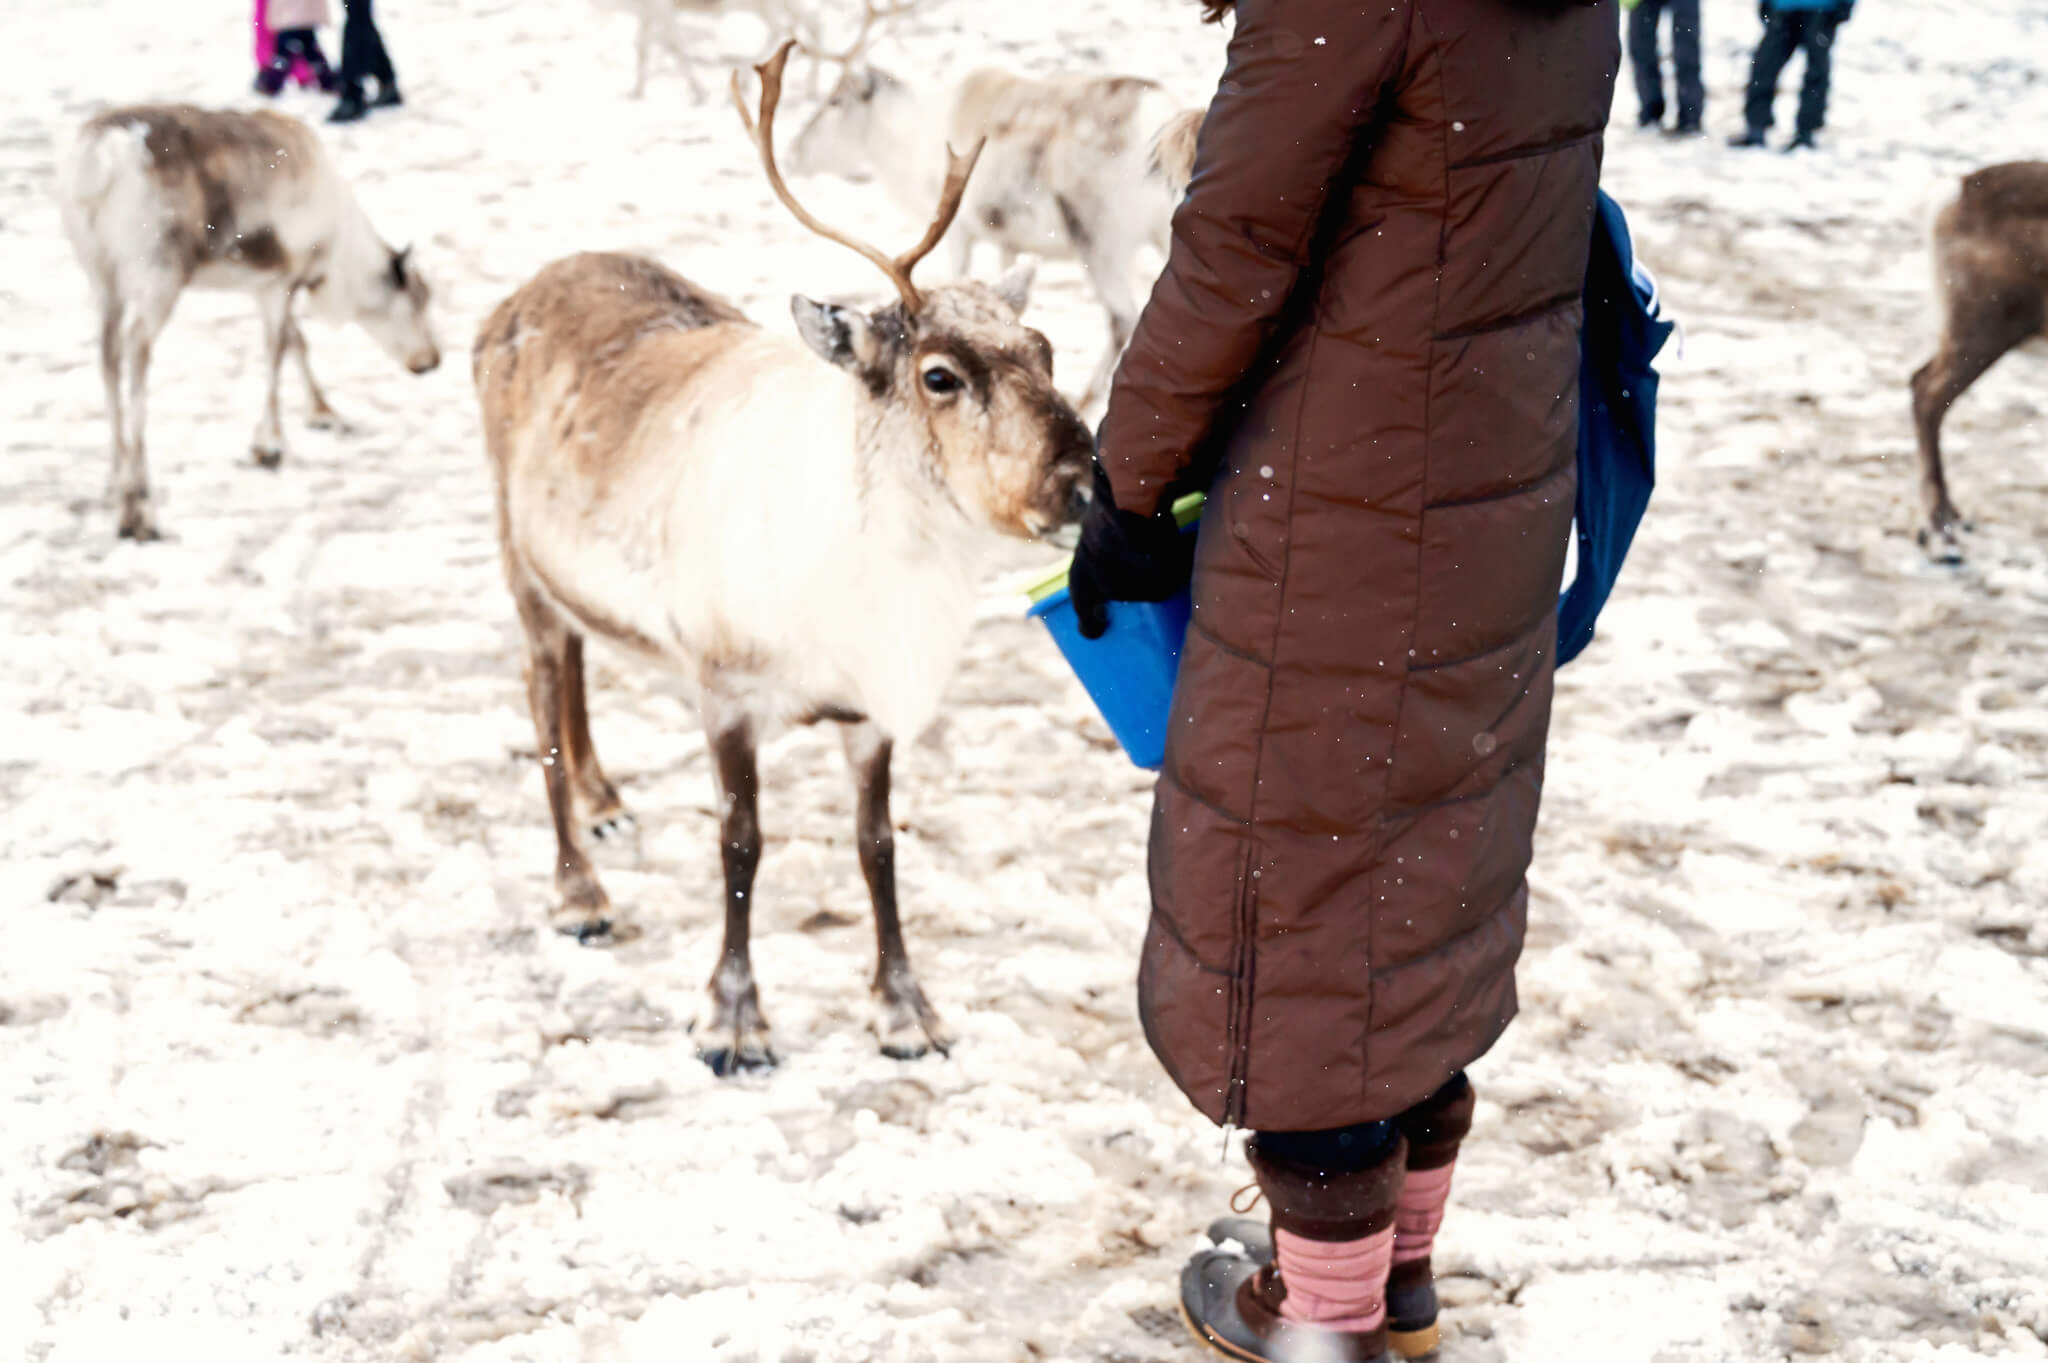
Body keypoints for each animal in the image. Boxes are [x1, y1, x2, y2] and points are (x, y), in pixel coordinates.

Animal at [53, 104, 439, 542]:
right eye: (419, 298)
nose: (432, 360)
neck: (337, 252)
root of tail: (97, 159)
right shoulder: (282, 280)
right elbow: (277, 350)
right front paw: (270, 446)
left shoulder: (264, 285)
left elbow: (295, 342)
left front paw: (323, 412)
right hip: (159, 273)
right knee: (137, 353)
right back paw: (139, 509)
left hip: (101, 277)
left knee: (108, 356)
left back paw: (114, 480)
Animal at [472, 42, 1092, 1076]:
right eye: (939, 374)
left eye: (1044, 349)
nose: (1082, 483)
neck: (867, 593)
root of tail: (511, 301)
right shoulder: (724, 689)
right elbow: (741, 843)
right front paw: (732, 1020)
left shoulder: (872, 710)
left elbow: (877, 844)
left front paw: (904, 1010)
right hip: (520, 567)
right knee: (541, 703)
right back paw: (579, 889)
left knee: (583, 669)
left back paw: (606, 798)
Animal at [786, 64, 1201, 411]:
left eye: (835, 101)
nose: (794, 153)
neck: (904, 141)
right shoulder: (1009, 241)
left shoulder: (957, 231)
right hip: (1163, 233)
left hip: (1099, 237)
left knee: (1122, 316)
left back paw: (1087, 398)